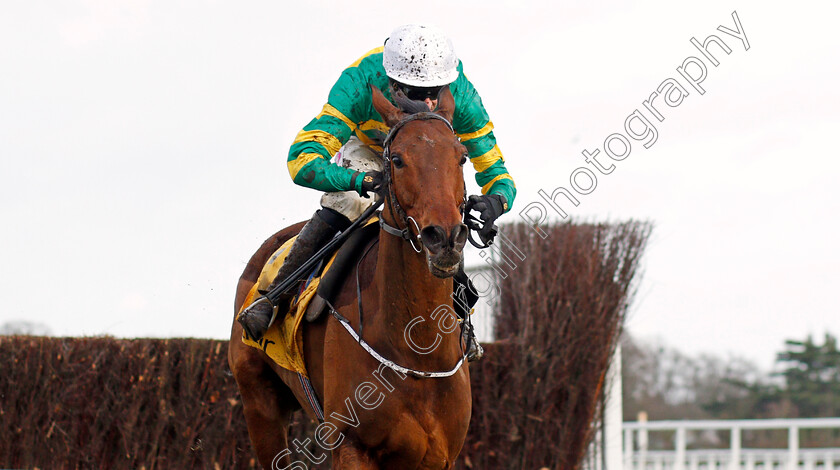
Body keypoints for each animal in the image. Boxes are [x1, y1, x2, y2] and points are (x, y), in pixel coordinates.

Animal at [230, 85, 476, 470]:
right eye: (397, 160)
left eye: (462, 157)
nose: (445, 238)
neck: (419, 351)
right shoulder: (351, 446)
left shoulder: (441, 456)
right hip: (259, 404)